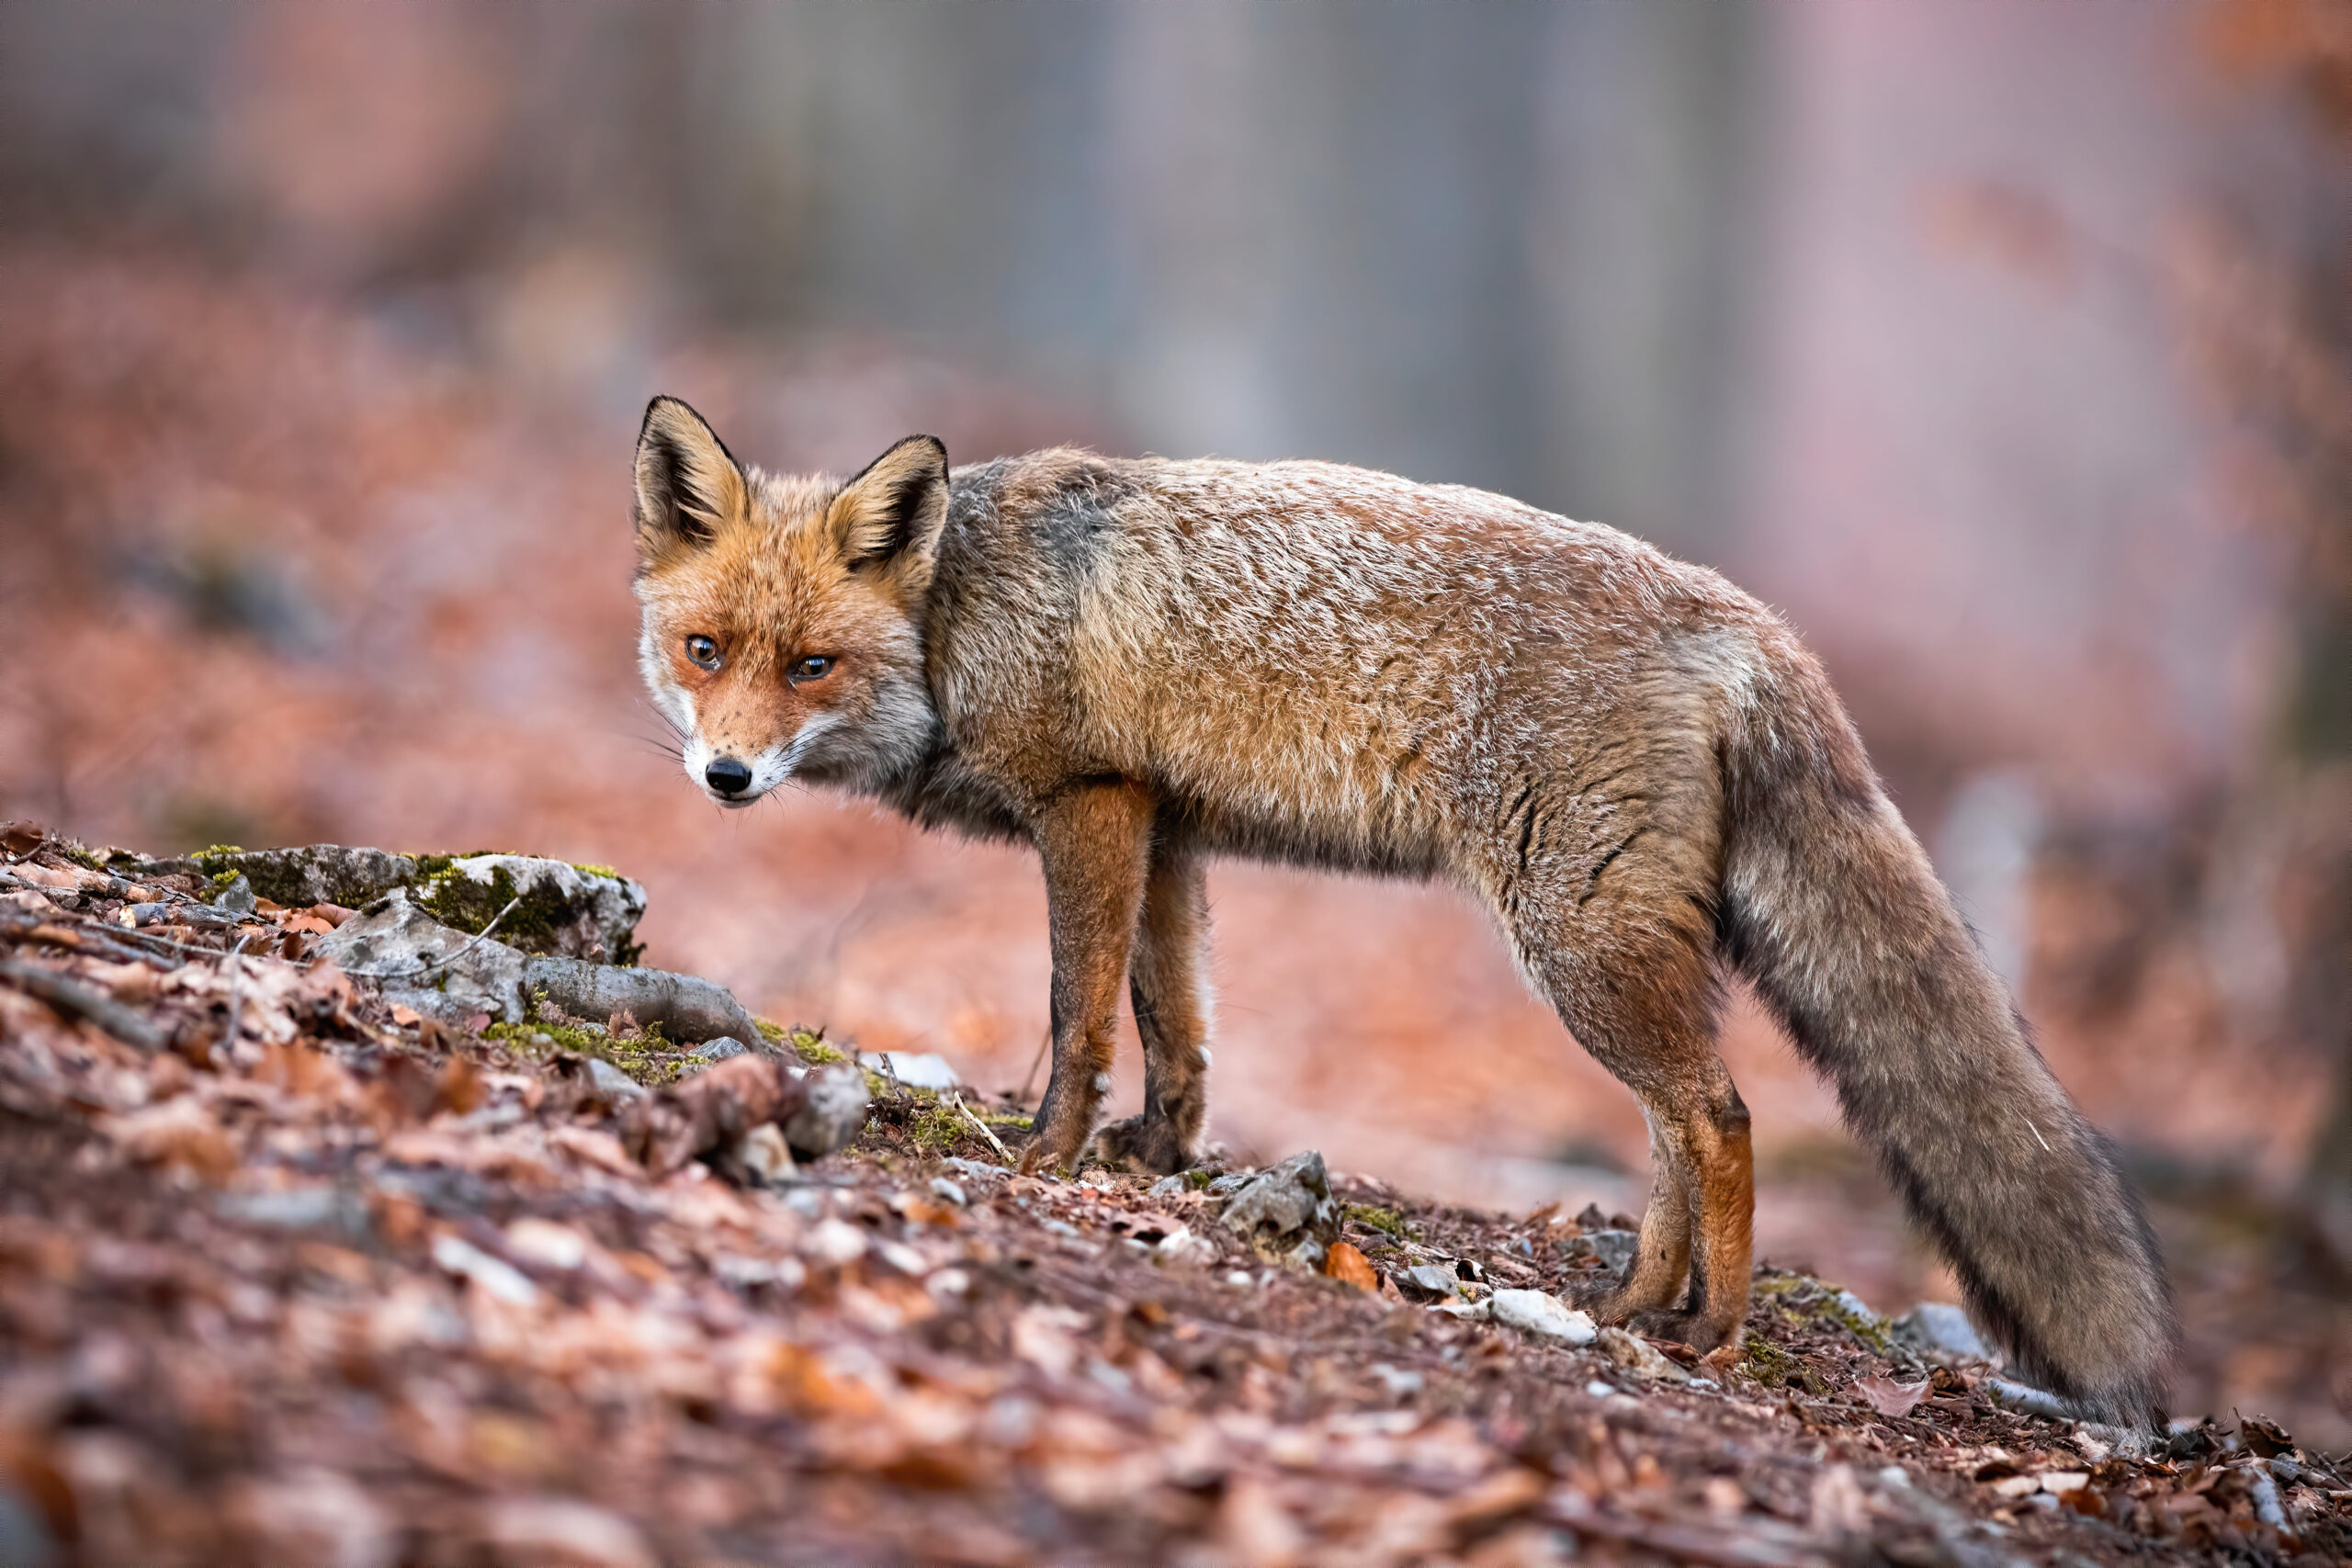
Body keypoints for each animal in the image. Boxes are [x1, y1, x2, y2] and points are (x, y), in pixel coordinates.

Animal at [628, 395, 2175, 1425]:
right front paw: (1156, 1160)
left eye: (812, 666)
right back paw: (1636, 1302)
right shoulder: (1169, 826)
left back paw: (1713, 1332)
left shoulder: (1093, 802)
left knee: (1723, 1119)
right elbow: (1176, 1025)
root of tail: (1747, 618)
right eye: (705, 650)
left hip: (1577, 940)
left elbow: (1078, 1012)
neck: (961, 610)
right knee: (1676, 1127)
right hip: (1613, 948)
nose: (724, 774)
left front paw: (1049, 1154)